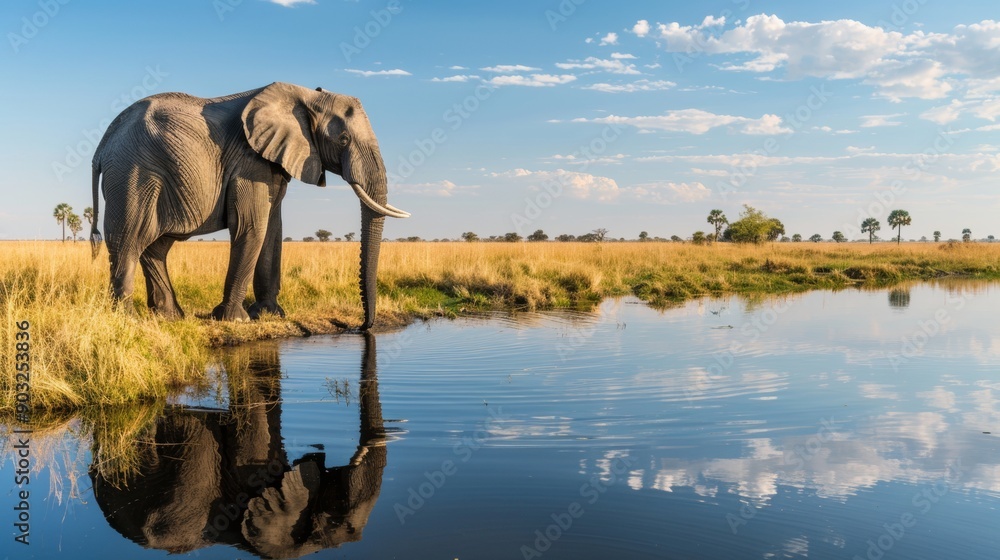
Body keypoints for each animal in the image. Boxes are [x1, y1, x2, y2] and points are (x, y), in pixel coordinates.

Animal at [89, 82, 409, 327]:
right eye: (342, 139)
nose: (362, 327)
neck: (304, 96)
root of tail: (103, 144)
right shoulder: (249, 162)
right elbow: (252, 226)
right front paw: (235, 319)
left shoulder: (270, 159)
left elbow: (273, 230)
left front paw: (270, 315)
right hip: (133, 175)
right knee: (129, 241)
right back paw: (126, 320)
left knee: (156, 246)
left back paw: (171, 317)